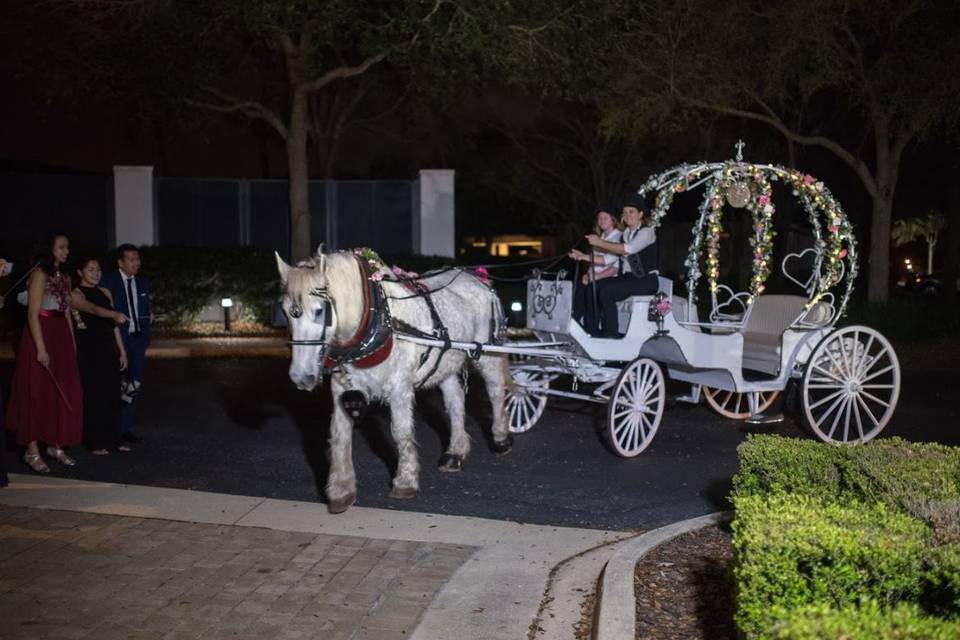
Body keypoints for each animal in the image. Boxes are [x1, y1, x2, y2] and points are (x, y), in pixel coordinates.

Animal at [276, 248, 512, 512]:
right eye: (285, 312)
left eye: (319, 311)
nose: (300, 377)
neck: (376, 319)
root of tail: (477, 278)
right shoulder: (341, 389)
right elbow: (340, 434)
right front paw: (341, 490)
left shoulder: (400, 387)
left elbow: (401, 432)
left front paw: (405, 481)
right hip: (445, 362)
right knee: (455, 401)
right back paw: (455, 452)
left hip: (488, 353)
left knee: (495, 391)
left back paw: (501, 438)